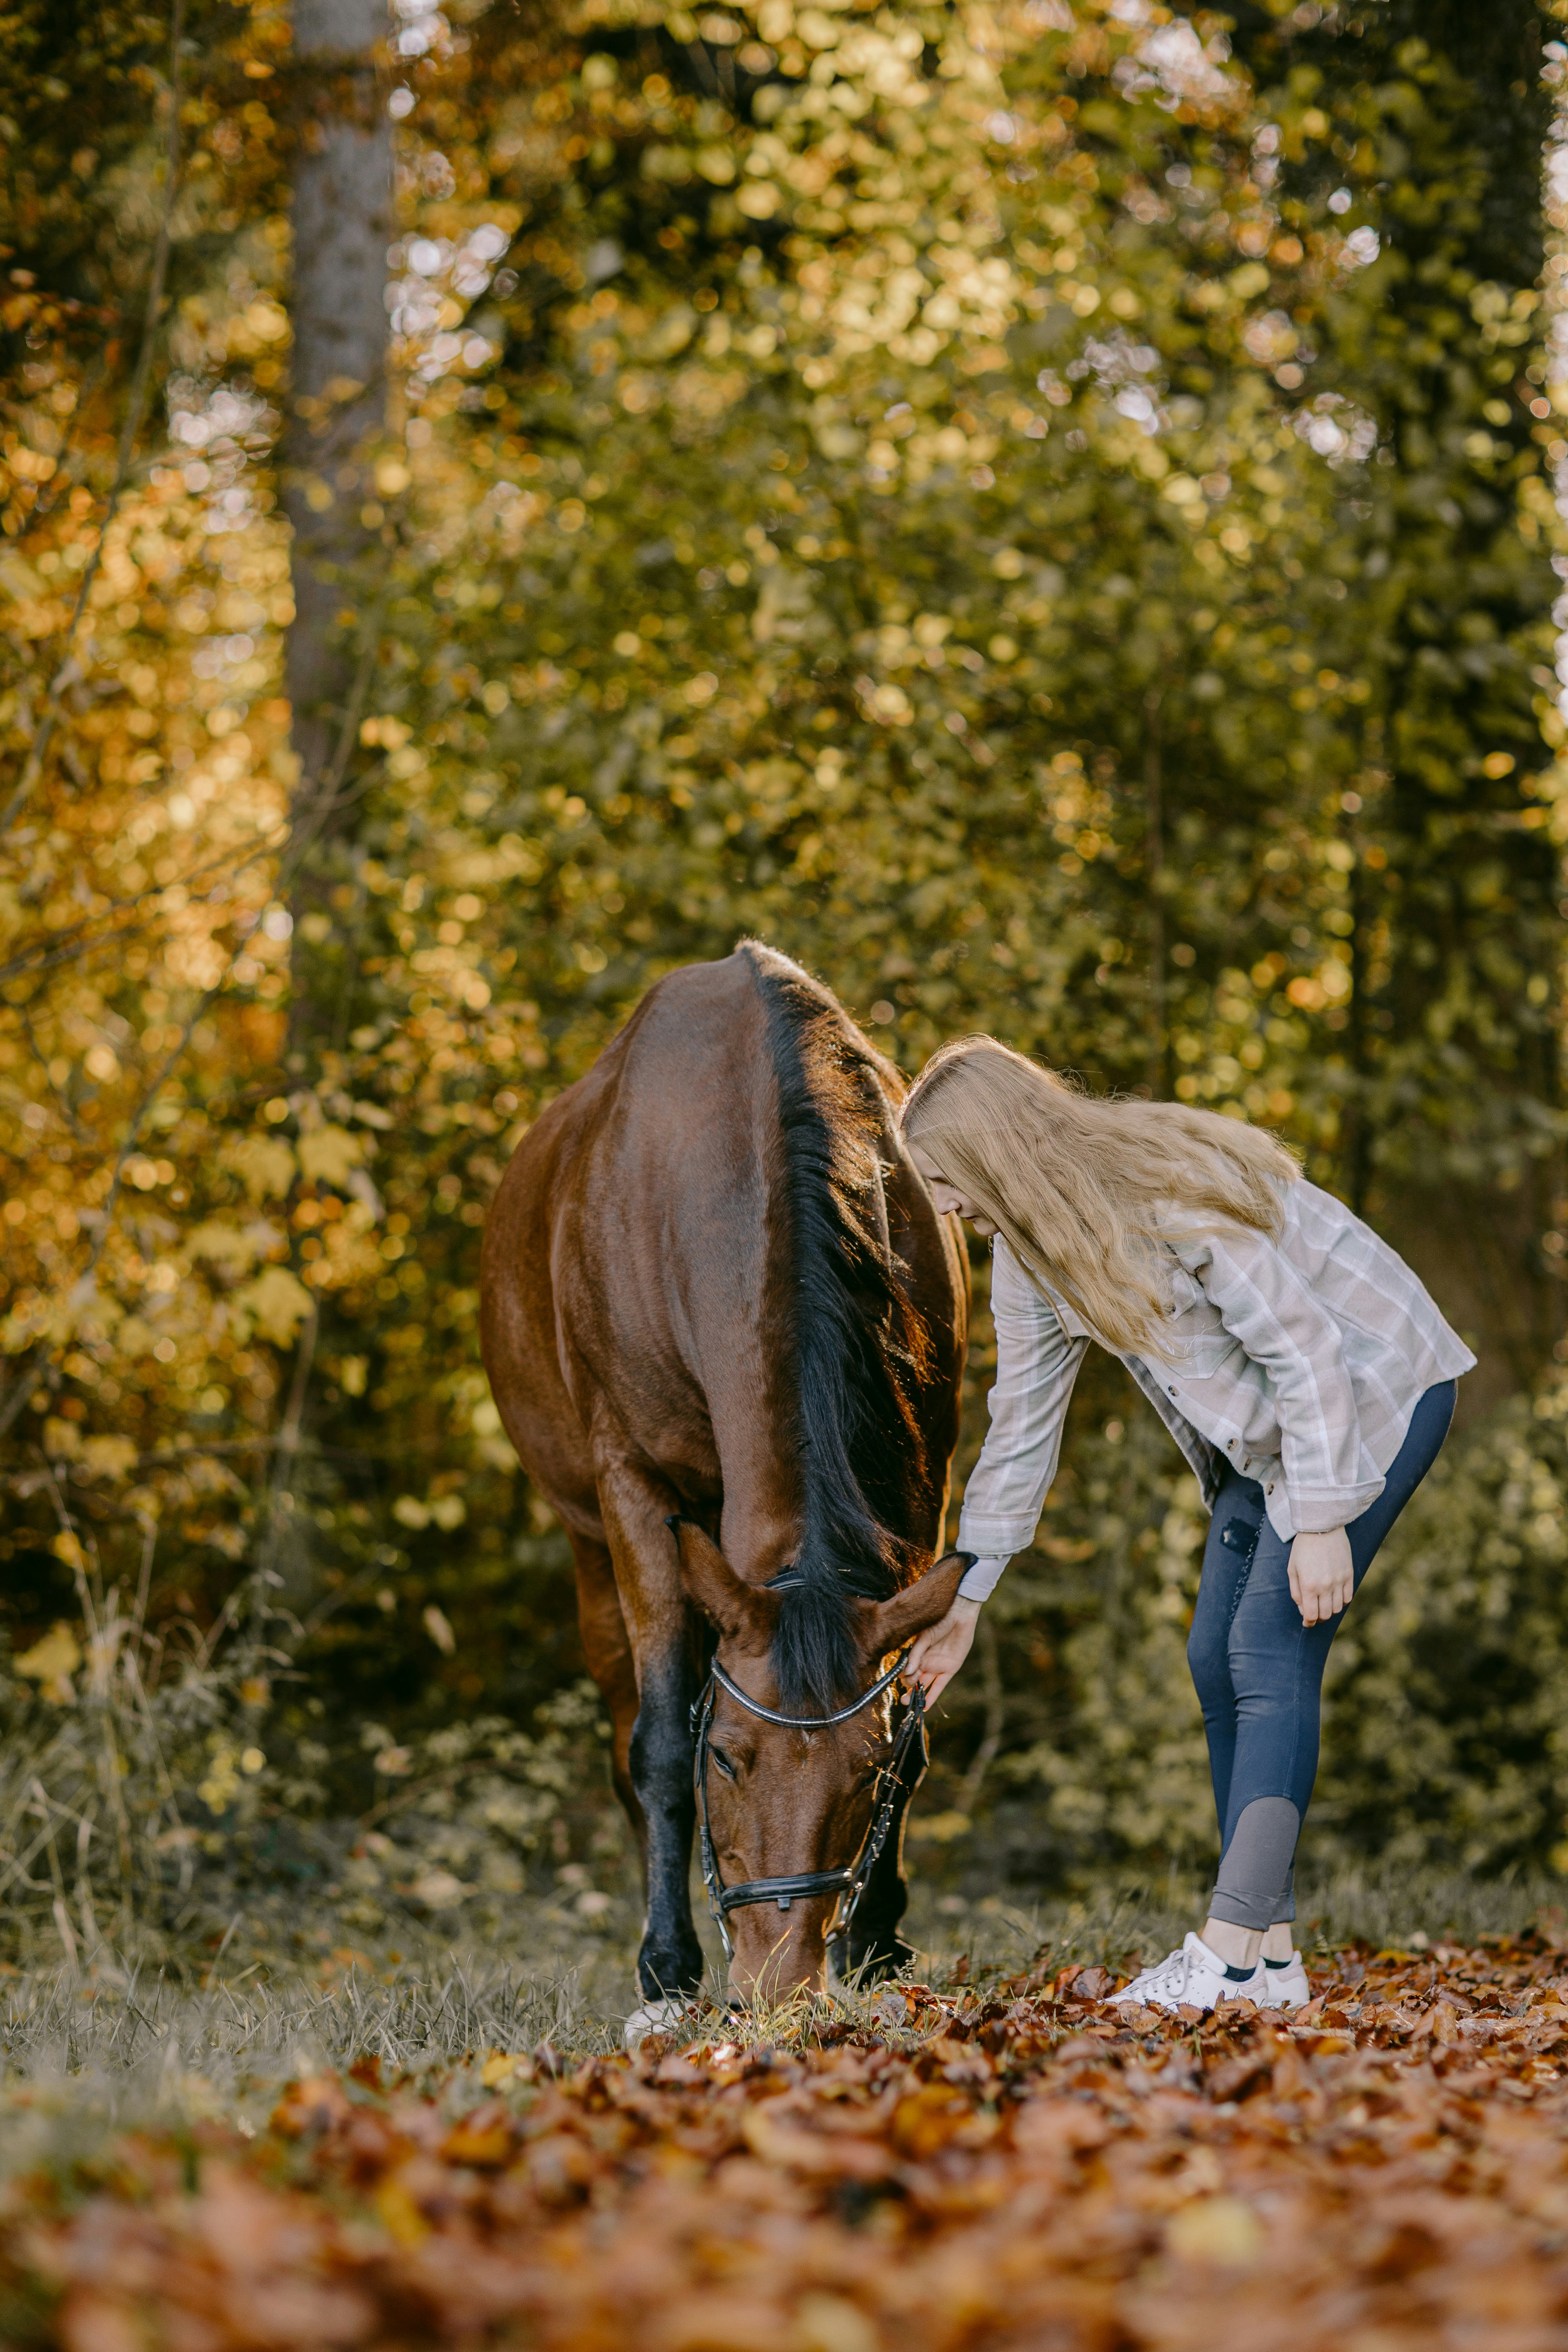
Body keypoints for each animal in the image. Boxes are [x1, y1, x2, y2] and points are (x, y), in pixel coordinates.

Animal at [479, 942, 969, 2002]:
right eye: (732, 1762)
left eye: (862, 1774)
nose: (778, 1986)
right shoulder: (634, 1488)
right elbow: (661, 1743)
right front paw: (666, 1965)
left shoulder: (921, 1492)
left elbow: (913, 1719)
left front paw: (878, 1941)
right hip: (592, 1547)